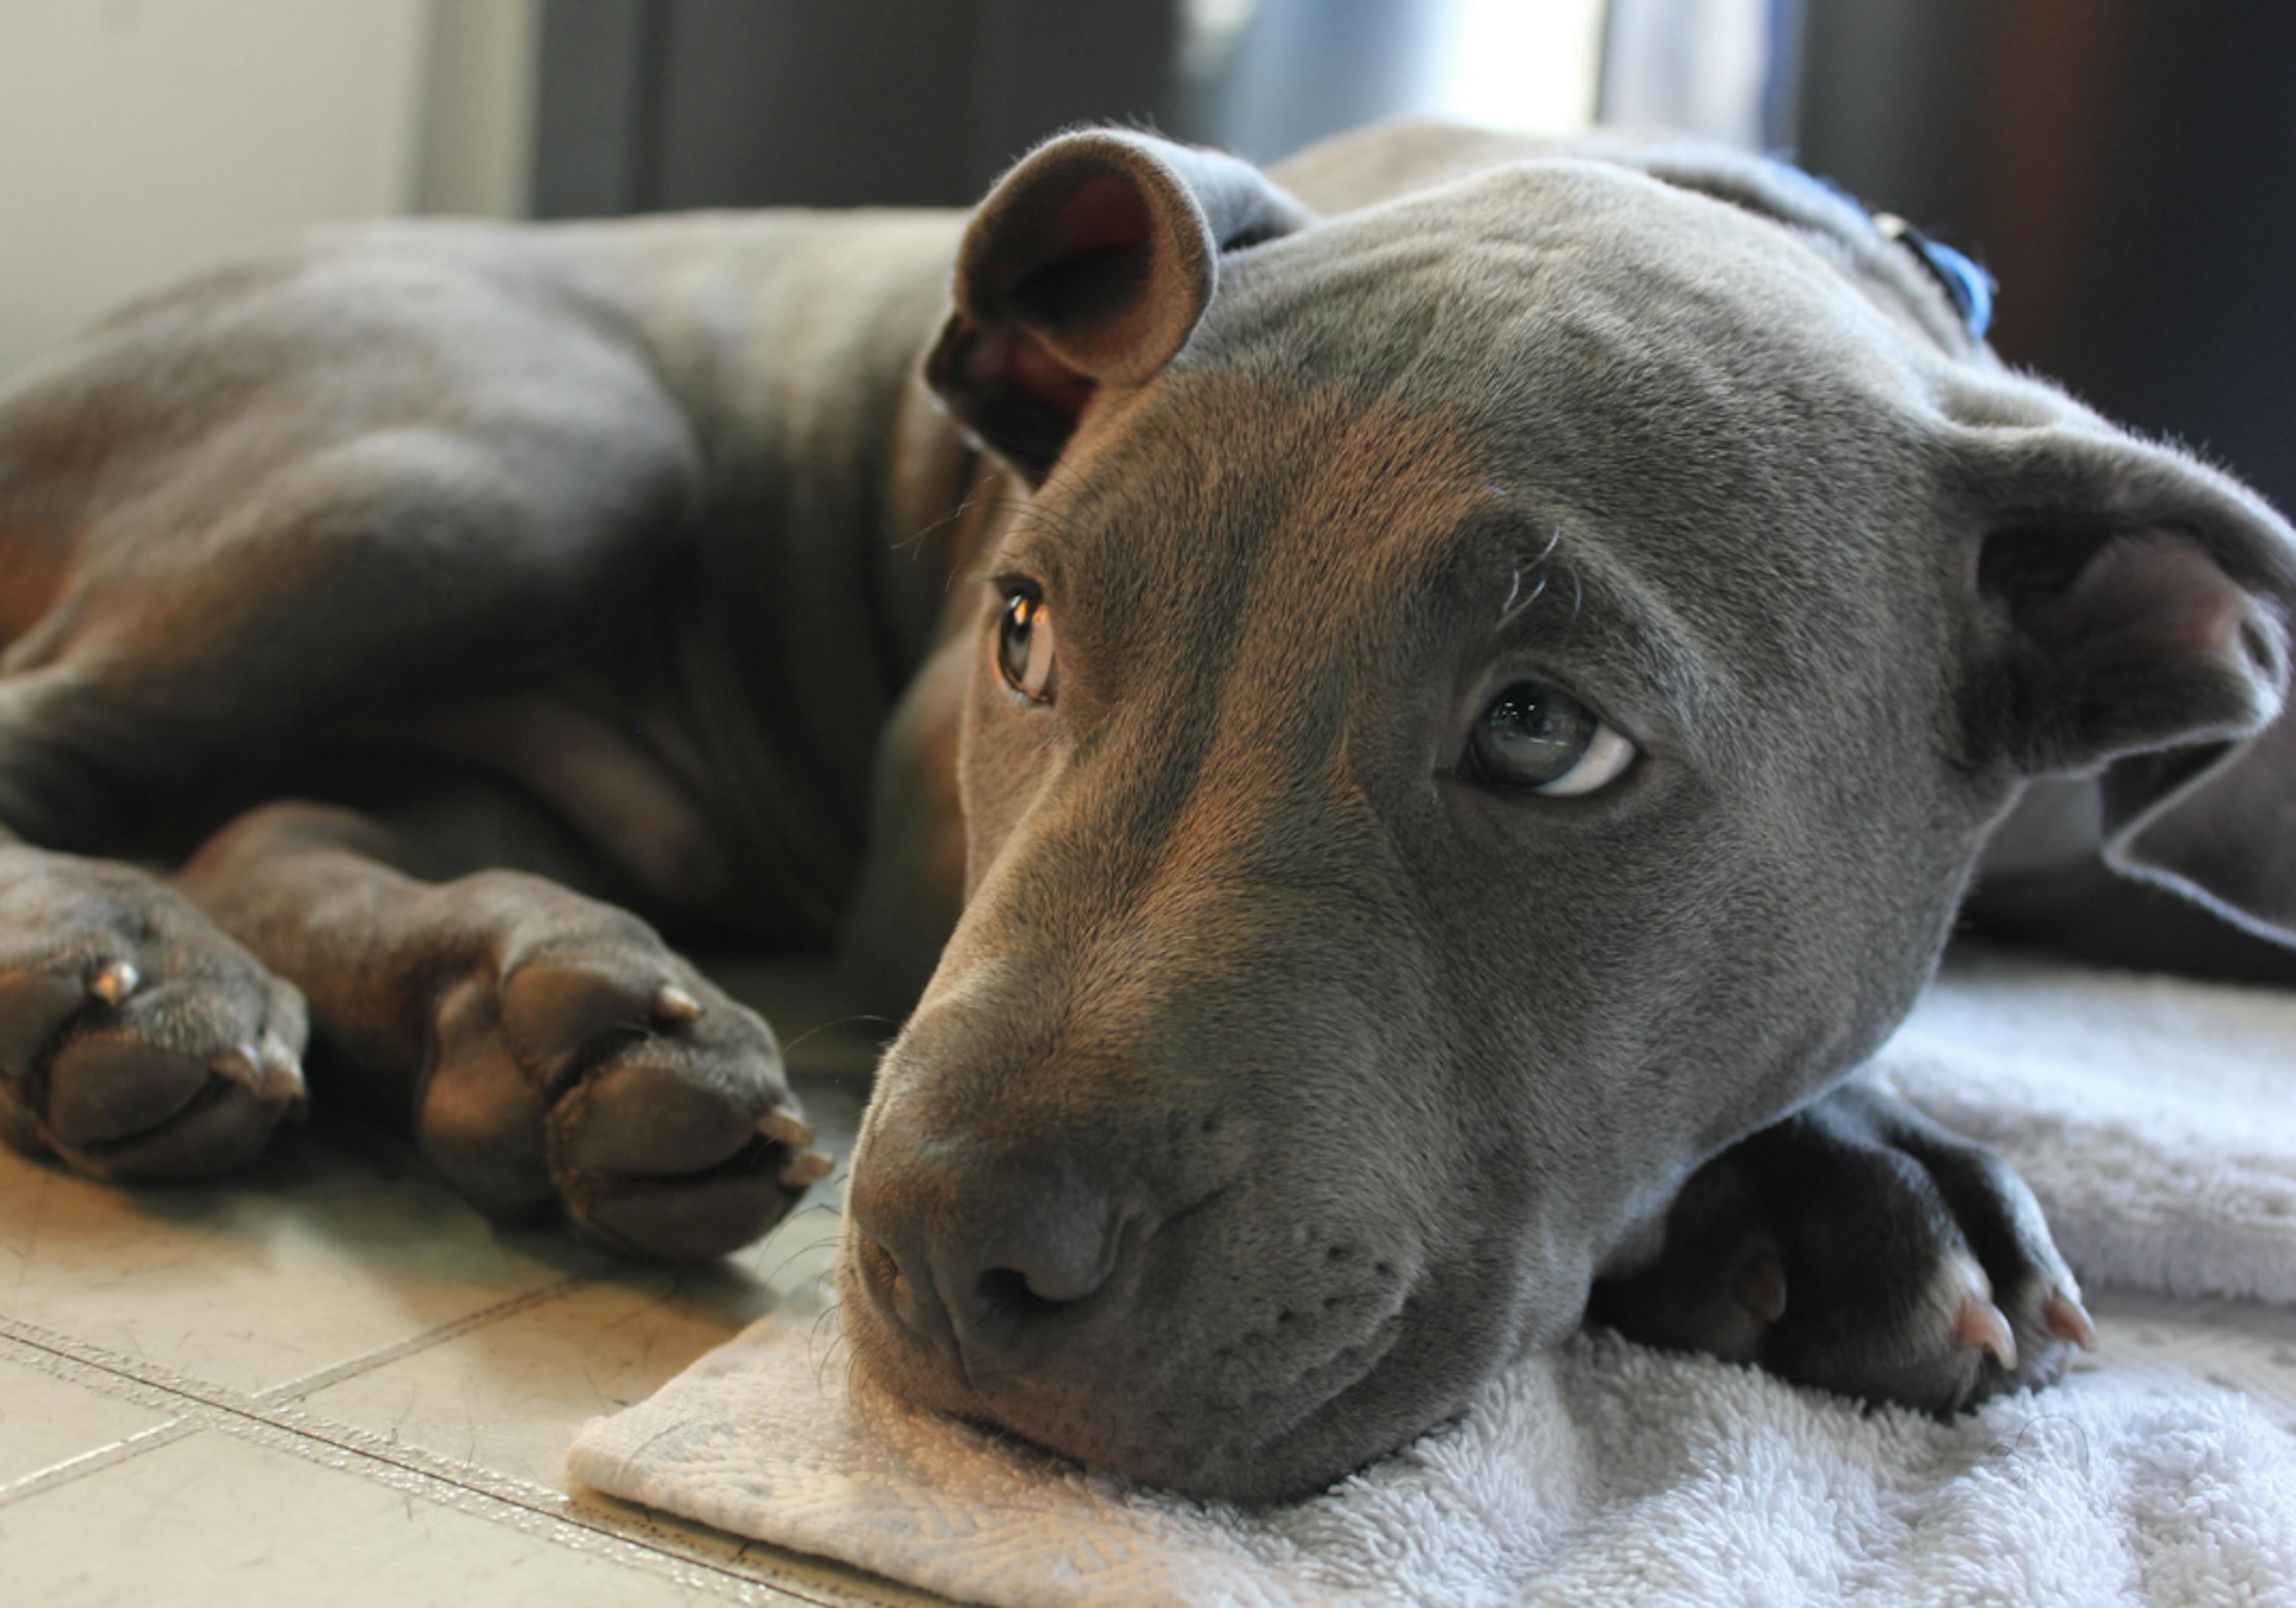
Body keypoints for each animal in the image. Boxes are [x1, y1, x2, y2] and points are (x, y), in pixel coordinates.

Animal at [4, 119, 2296, 1497]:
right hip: (518, 440)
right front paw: (1864, 1184)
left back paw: (545, 1024)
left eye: (1543, 734)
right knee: (90, 760)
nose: (943, 1234)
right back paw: (123, 984)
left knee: (278, 820)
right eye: (1021, 630)